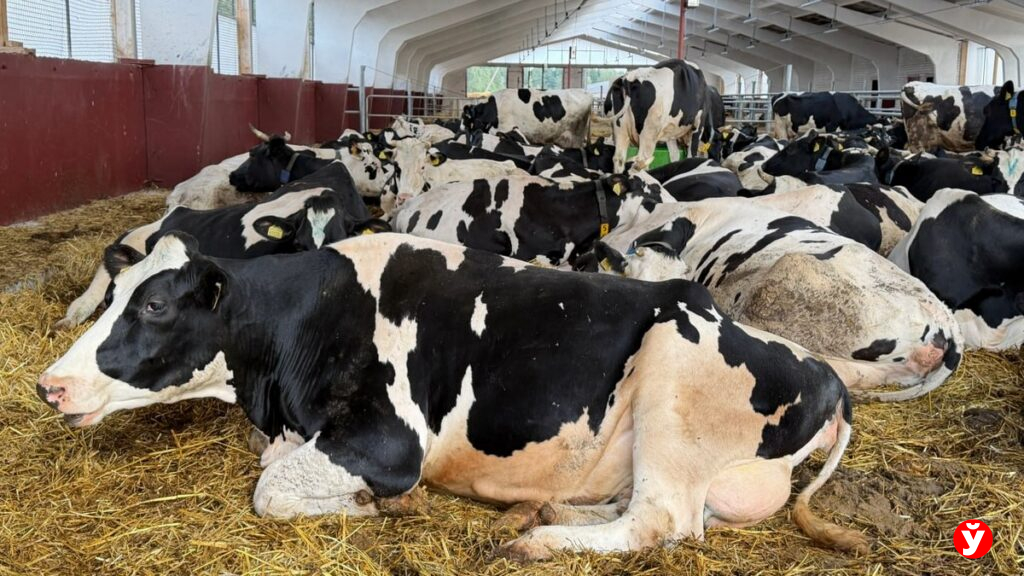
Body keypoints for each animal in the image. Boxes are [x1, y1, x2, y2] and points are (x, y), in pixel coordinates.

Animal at [37, 231, 868, 560]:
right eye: (109, 293)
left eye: (152, 306)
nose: (49, 385)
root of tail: (826, 375)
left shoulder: (390, 440)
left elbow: (270, 492)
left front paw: (373, 505)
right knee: (654, 511)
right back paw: (544, 511)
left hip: (675, 368)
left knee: (658, 520)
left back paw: (536, 541)